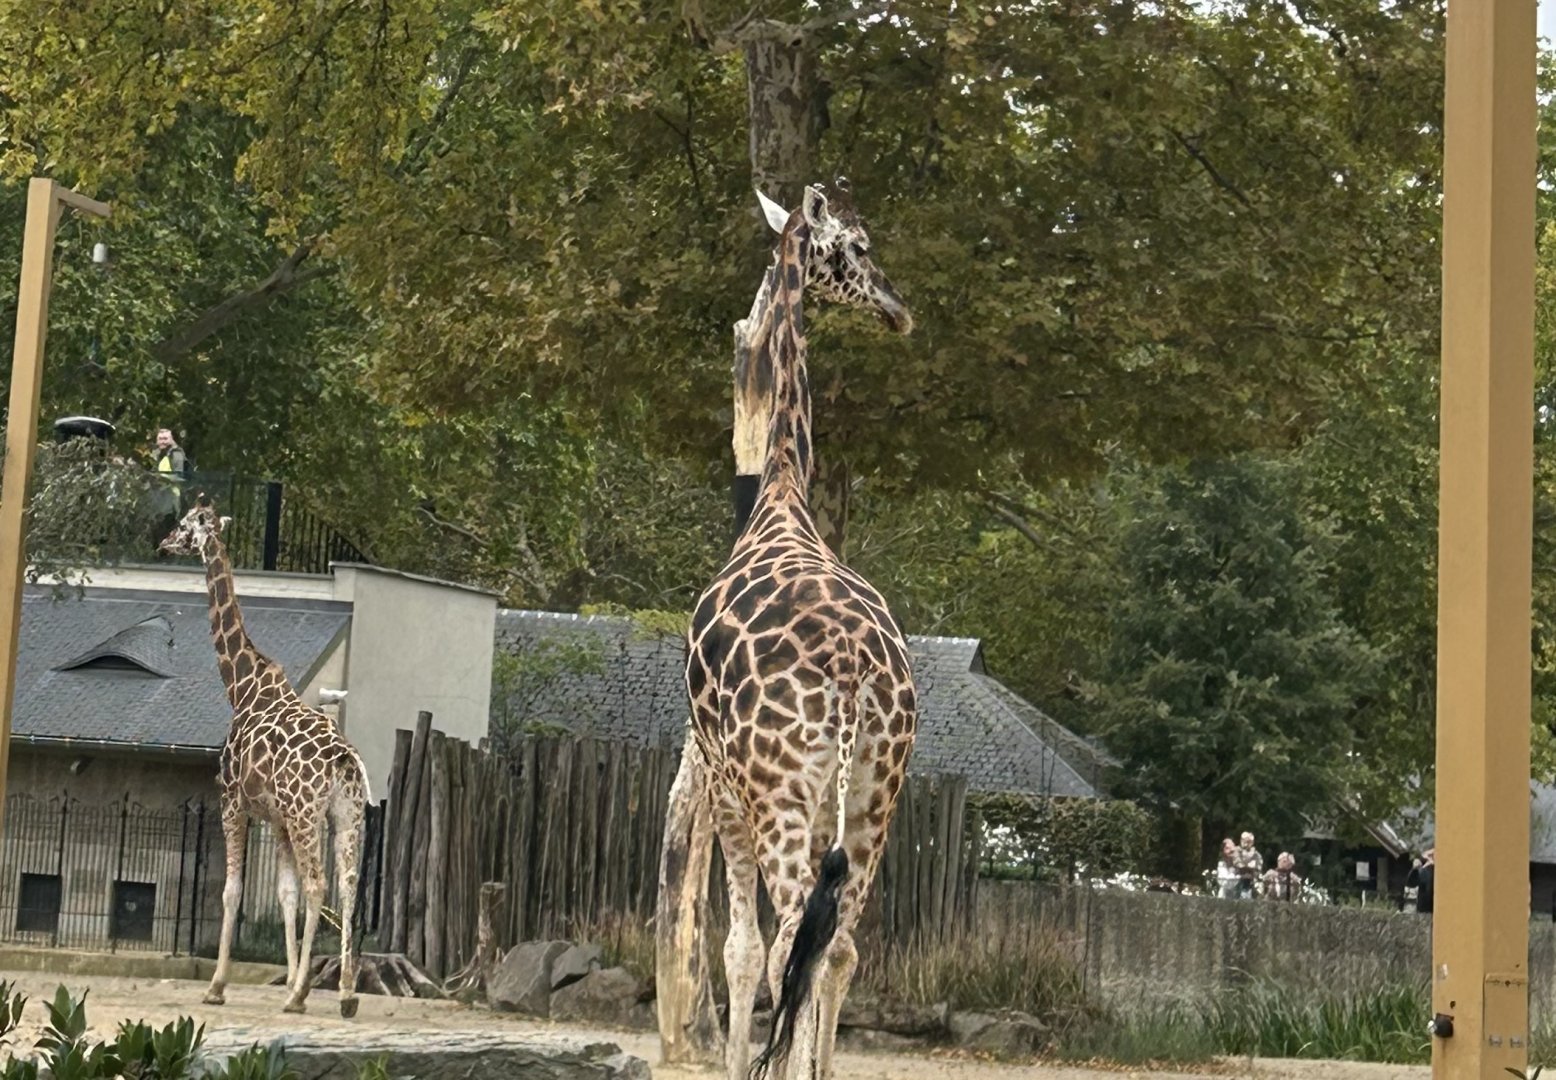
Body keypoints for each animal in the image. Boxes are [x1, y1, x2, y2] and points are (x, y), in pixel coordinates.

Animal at [159, 496, 369, 1018]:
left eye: (185, 525)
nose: (163, 543)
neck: (241, 688)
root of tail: (343, 758)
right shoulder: (276, 818)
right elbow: (284, 894)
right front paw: (294, 974)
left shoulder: (233, 803)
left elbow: (232, 891)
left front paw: (217, 986)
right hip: (345, 815)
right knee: (348, 883)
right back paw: (346, 993)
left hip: (307, 813)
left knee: (320, 885)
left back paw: (300, 996)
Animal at [683, 178, 917, 1080]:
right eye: (858, 247)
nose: (898, 309)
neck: (783, 493)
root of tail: (852, 675)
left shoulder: (722, 778)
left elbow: (740, 949)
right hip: (876, 794)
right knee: (838, 946)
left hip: (783, 793)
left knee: (787, 937)